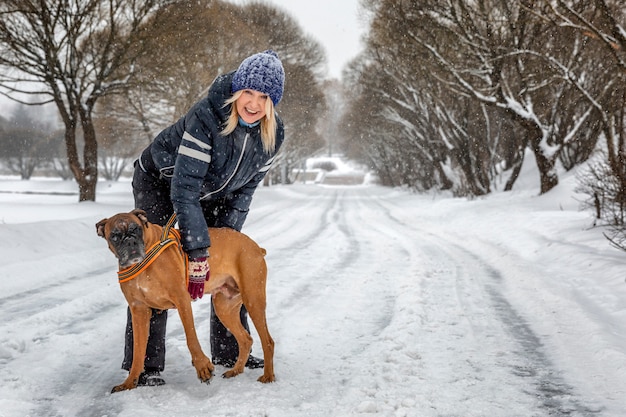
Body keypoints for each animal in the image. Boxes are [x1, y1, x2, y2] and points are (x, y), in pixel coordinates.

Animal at [95, 210, 272, 392]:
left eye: (136, 229)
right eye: (115, 236)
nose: (130, 241)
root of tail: (256, 247)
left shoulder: (181, 299)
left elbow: (191, 337)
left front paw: (203, 367)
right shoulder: (139, 311)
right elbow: (137, 351)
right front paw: (129, 383)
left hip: (253, 299)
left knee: (268, 341)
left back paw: (268, 376)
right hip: (224, 308)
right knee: (246, 339)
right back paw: (235, 371)